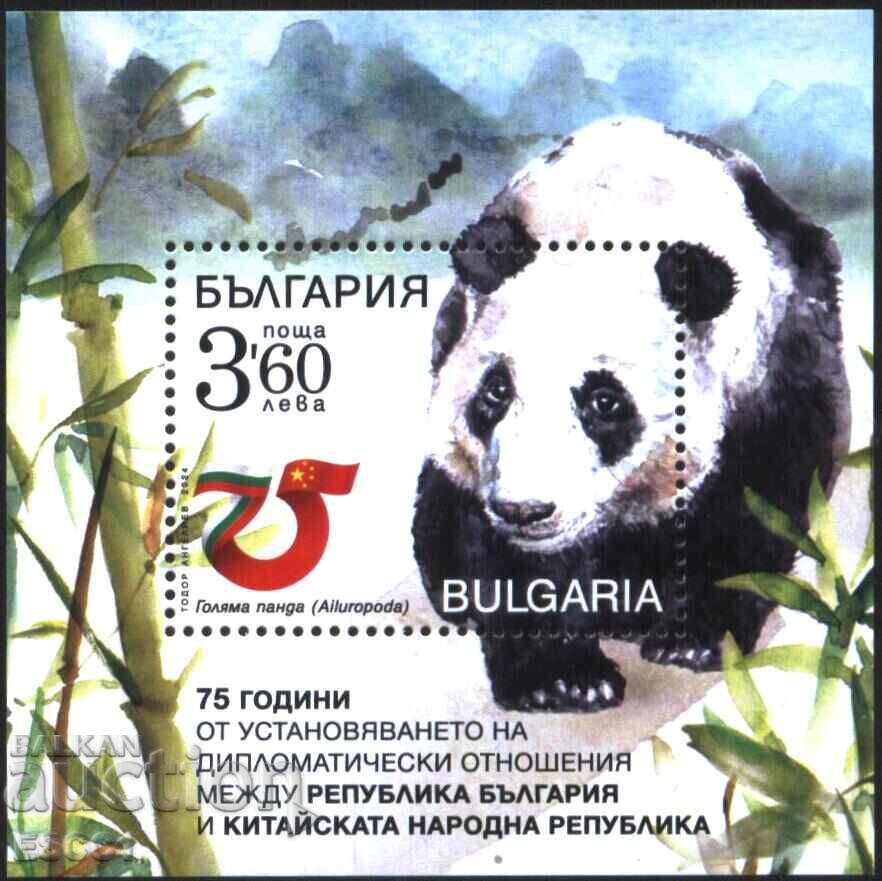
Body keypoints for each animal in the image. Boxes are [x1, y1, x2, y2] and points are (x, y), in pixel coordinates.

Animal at [412, 117, 851, 712]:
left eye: (604, 401)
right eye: (495, 391)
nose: (525, 510)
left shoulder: (776, 352)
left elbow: (761, 495)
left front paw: (692, 639)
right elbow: (489, 541)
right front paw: (562, 679)